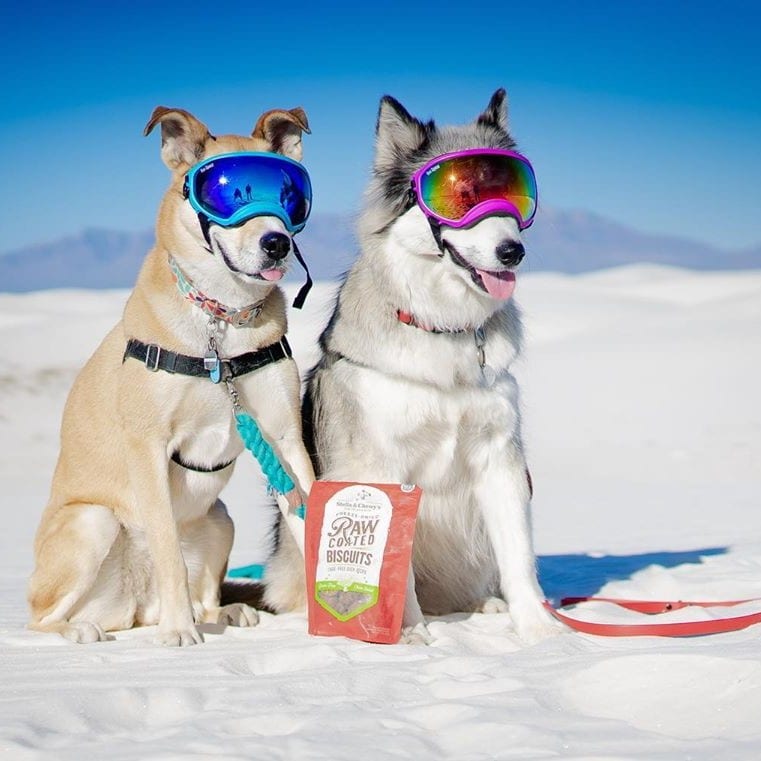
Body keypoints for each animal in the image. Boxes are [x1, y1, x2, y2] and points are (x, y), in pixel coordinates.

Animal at [29, 104, 314, 644]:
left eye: (290, 195)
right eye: (227, 192)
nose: (276, 243)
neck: (221, 326)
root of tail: (137, 606)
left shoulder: (285, 438)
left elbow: (312, 517)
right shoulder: (149, 446)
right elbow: (166, 550)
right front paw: (180, 633)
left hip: (219, 520)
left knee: (205, 593)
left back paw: (226, 613)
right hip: (92, 522)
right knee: (40, 617)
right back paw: (88, 630)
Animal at [266, 90, 560, 648]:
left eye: (514, 195)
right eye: (460, 195)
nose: (513, 250)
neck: (443, 330)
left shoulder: (499, 459)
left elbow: (518, 556)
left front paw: (540, 630)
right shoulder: (381, 468)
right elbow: (390, 568)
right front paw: (407, 635)